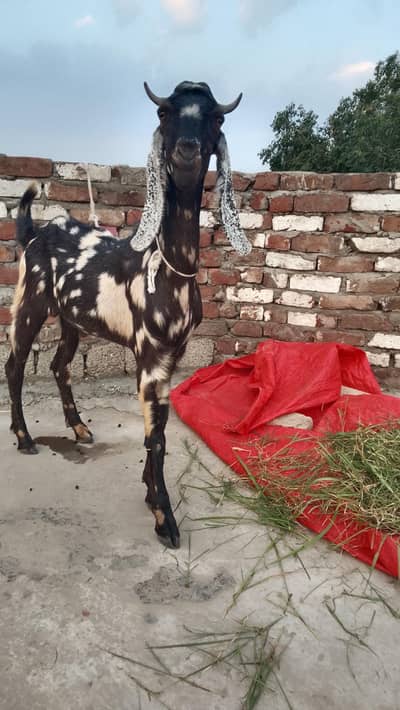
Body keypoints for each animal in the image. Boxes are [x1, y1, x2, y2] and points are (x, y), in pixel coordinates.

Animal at [5, 80, 251, 548]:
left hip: (71, 318)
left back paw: (80, 429)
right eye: (163, 113)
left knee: (59, 364)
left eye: (216, 117)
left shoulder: (174, 353)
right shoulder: (150, 355)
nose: (187, 151)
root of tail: (33, 232)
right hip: (30, 302)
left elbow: (158, 433)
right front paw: (163, 518)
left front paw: (150, 492)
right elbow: (156, 437)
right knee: (15, 364)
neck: (165, 267)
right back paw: (25, 437)